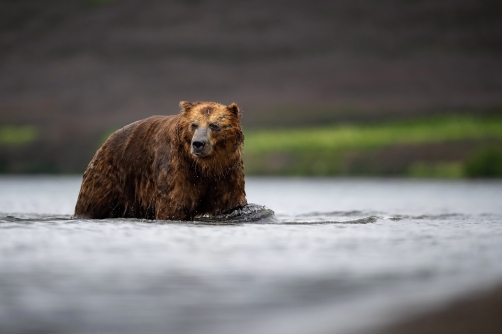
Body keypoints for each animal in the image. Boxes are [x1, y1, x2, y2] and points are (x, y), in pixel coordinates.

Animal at [73, 102, 247, 222]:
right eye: (194, 124)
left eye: (214, 125)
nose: (198, 143)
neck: (205, 167)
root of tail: (106, 142)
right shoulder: (177, 169)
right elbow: (172, 206)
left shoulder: (228, 173)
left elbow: (231, 203)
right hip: (108, 179)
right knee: (92, 204)